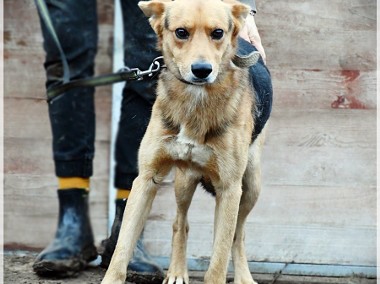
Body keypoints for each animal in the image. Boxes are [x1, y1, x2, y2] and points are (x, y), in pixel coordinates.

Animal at [101, 1, 268, 282]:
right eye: (181, 32)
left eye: (218, 33)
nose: (201, 70)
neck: (195, 100)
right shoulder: (145, 179)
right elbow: (122, 248)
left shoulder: (230, 188)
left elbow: (219, 260)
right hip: (184, 181)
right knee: (181, 222)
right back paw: (178, 271)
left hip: (250, 186)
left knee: (236, 235)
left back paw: (244, 276)